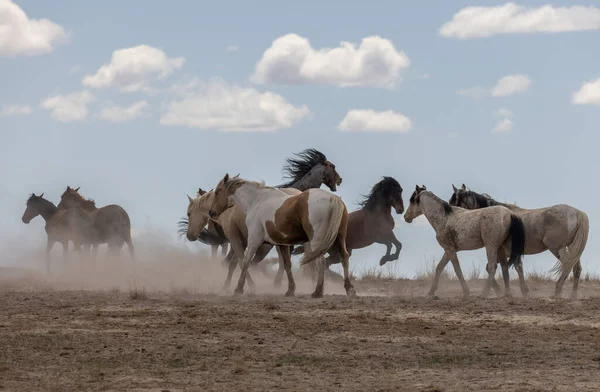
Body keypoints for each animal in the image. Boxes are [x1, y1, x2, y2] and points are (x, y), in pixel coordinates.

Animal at [210, 173, 354, 298]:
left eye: (217, 191)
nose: (211, 212)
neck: (257, 201)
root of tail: (332, 198)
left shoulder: (254, 240)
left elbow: (245, 262)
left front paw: (239, 288)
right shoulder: (282, 244)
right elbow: (287, 265)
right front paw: (290, 290)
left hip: (316, 241)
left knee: (321, 261)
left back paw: (318, 291)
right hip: (339, 239)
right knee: (344, 257)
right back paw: (349, 288)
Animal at [448, 185, 588, 298]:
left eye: (452, 202)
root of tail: (577, 213)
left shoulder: (504, 252)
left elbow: (497, 267)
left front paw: (502, 290)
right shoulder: (510, 253)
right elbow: (515, 268)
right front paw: (520, 291)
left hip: (557, 248)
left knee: (567, 265)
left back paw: (558, 290)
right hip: (572, 249)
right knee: (576, 268)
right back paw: (573, 296)